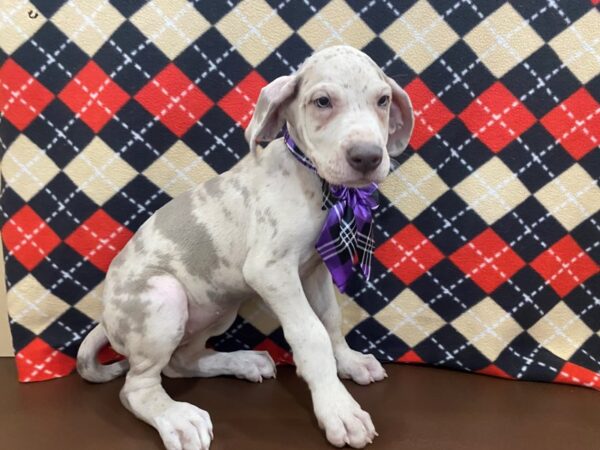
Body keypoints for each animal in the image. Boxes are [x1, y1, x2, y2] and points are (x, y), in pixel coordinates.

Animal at [77, 46, 414, 450]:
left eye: (383, 100)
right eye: (322, 101)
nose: (368, 157)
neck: (313, 182)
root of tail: (106, 319)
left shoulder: (314, 269)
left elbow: (330, 319)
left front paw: (348, 362)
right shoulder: (271, 271)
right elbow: (311, 334)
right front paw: (338, 409)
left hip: (218, 309)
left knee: (180, 362)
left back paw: (243, 362)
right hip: (163, 296)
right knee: (137, 388)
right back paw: (177, 418)